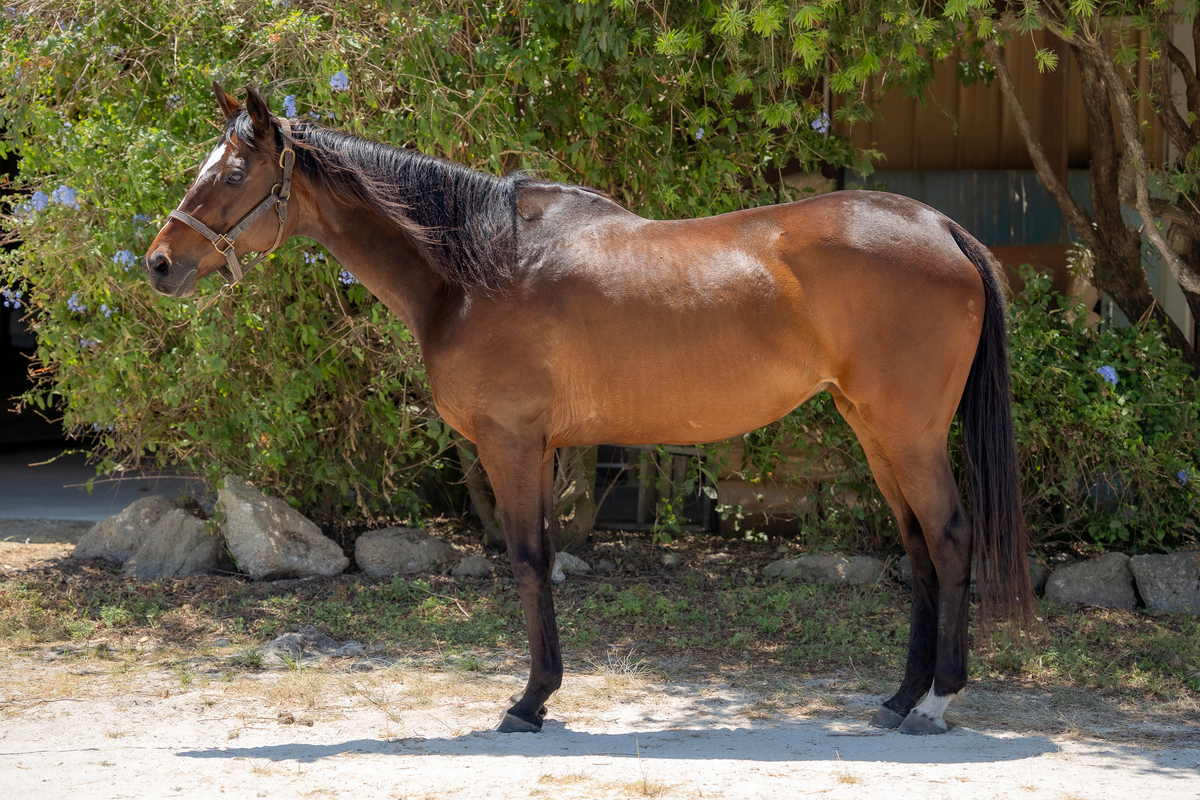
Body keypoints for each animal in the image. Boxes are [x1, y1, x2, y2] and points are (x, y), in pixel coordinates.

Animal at [145, 84, 1035, 736]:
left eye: (232, 176)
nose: (158, 263)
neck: (476, 268)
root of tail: (941, 225)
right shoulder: (539, 447)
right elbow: (542, 558)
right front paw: (542, 693)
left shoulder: (510, 442)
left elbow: (528, 560)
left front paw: (529, 701)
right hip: (872, 428)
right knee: (918, 547)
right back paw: (898, 697)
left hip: (907, 432)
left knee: (950, 537)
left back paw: (936, 701)